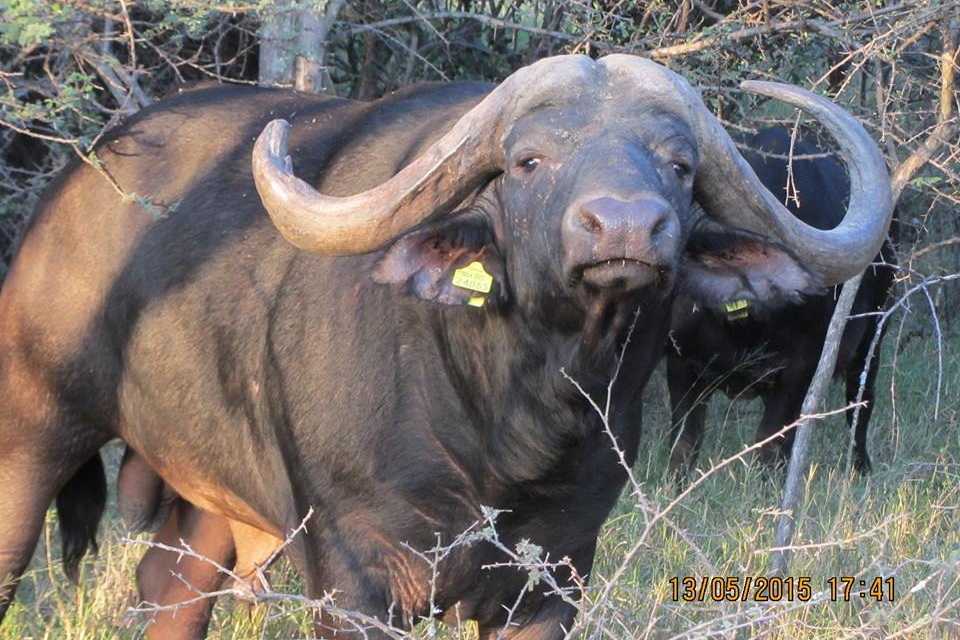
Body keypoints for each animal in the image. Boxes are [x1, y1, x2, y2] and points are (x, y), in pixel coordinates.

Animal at [666, 127, 898, 476]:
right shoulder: (680, 363)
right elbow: (685, 442)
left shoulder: (801, 367)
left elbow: (772, 442)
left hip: (872, 337)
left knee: (860, 405)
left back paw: (861, 467)